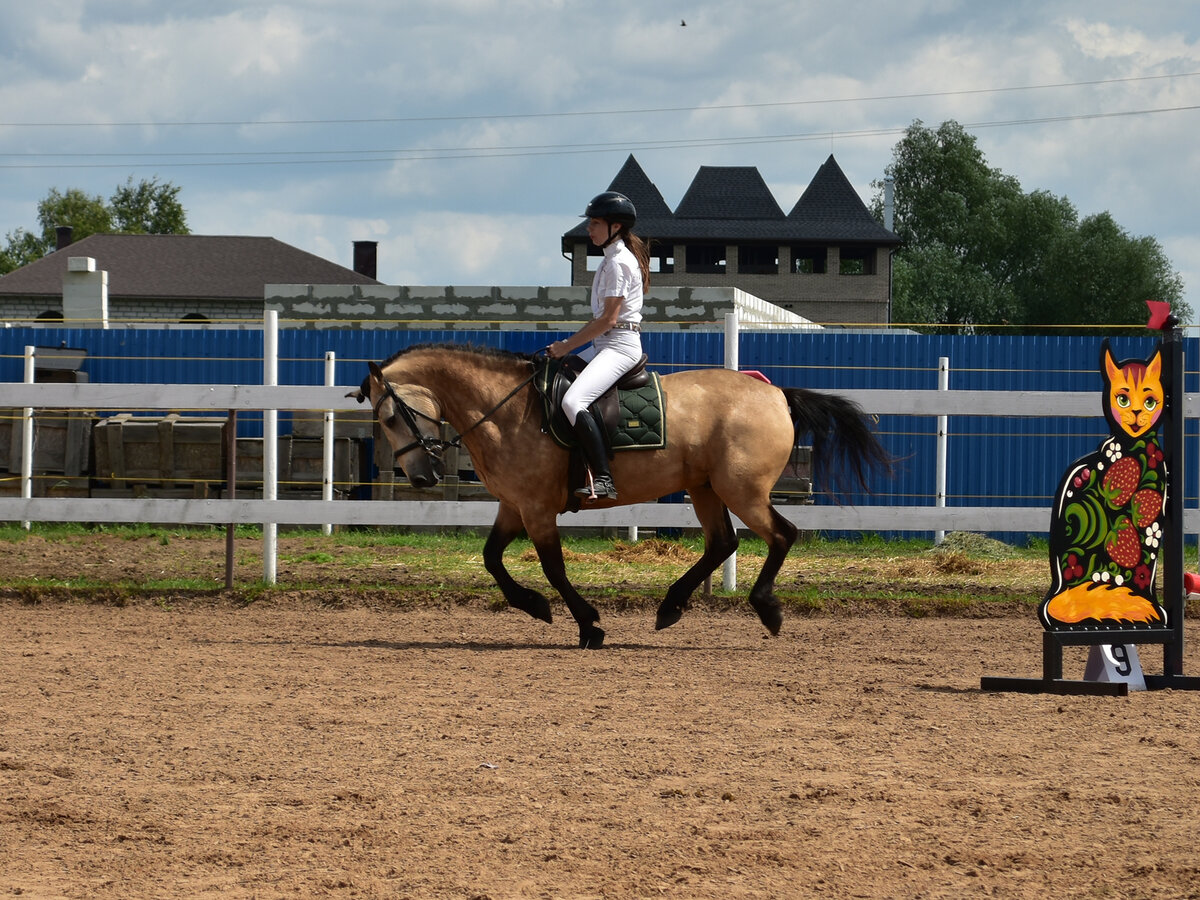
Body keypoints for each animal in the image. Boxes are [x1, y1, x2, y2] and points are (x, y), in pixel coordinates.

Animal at [350, 343, 888, 648]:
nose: (422, 477)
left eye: (391, 416)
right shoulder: (514, 505)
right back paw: (671, 606)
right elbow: (491, 558)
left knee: (781, 533)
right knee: (722, 543)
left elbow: (553, 568)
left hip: (742, 490)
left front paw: (588, 625)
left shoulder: (537, 509)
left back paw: (766, 608)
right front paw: (535, 606)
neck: (505, 410)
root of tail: (775, 393)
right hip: (705, 488)